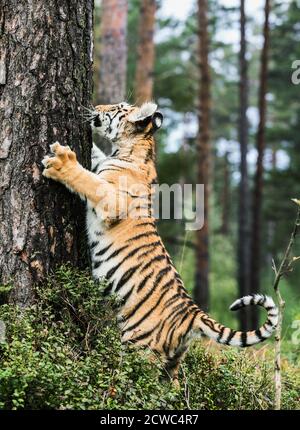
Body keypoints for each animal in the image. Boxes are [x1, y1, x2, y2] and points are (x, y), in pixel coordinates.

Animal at [41, 101, 278, 386]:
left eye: (116, 108)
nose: (97, 106)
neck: (133, 147)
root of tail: (193, 314)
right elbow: (96, 156)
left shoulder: (112, 199)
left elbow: (88, 179)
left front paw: (61, 161)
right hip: (171, 366)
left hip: (139, 349)